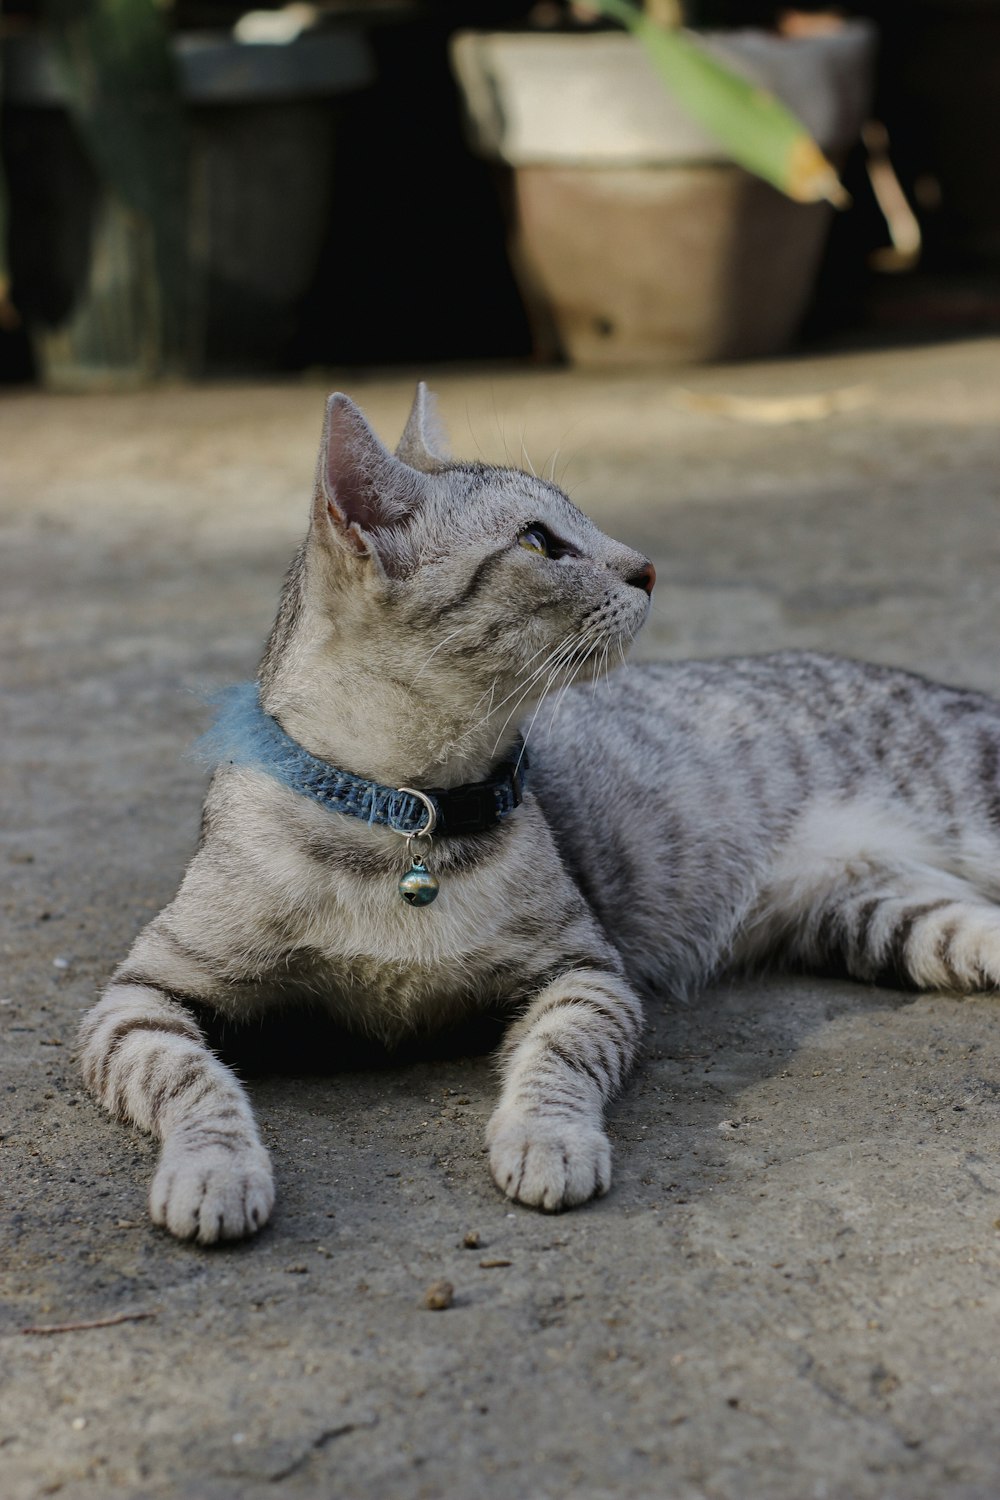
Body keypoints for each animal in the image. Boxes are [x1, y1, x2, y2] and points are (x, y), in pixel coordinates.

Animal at [80, 384, 1000, 1242]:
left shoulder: (585, 972)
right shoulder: (139, 998)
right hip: (883, 916)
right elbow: (192, 1081)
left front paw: (547, 1140)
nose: (648, 568)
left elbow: (557, 1058)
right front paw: (215, 1170)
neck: (406, 820)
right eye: (539, 542)